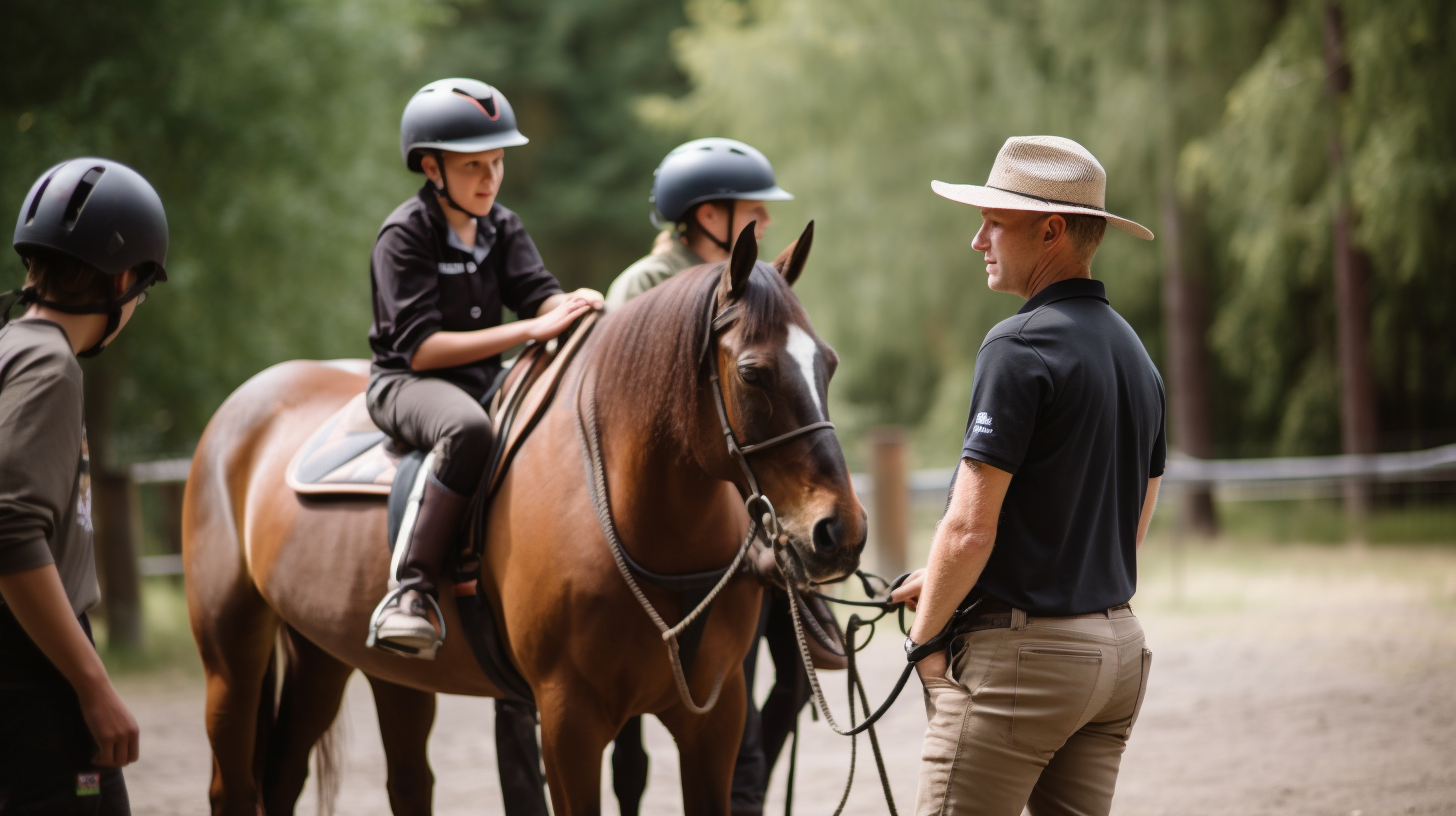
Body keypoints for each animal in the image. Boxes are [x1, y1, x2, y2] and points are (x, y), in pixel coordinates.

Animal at [180, 222, 861, 816]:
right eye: (752, 372)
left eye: (829, 363)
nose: (841, 531)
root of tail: (242, 408)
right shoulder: (568, 722)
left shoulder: (715, 722)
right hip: (232, 658)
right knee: (233, 785)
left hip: (338, 657)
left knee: (349, 780)